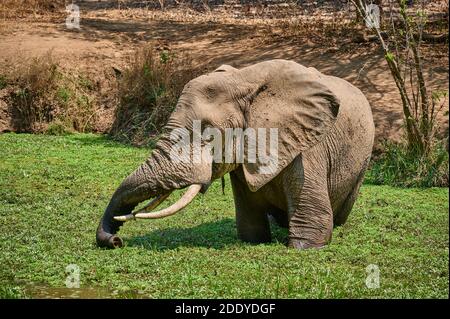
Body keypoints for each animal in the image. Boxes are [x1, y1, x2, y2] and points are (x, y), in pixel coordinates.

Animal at [96, 59, 376, 250]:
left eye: (208, 132)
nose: (116, 240)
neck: (243, 80)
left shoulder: (306, 149)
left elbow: (311, 226)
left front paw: (304, 246)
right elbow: (250, 227)